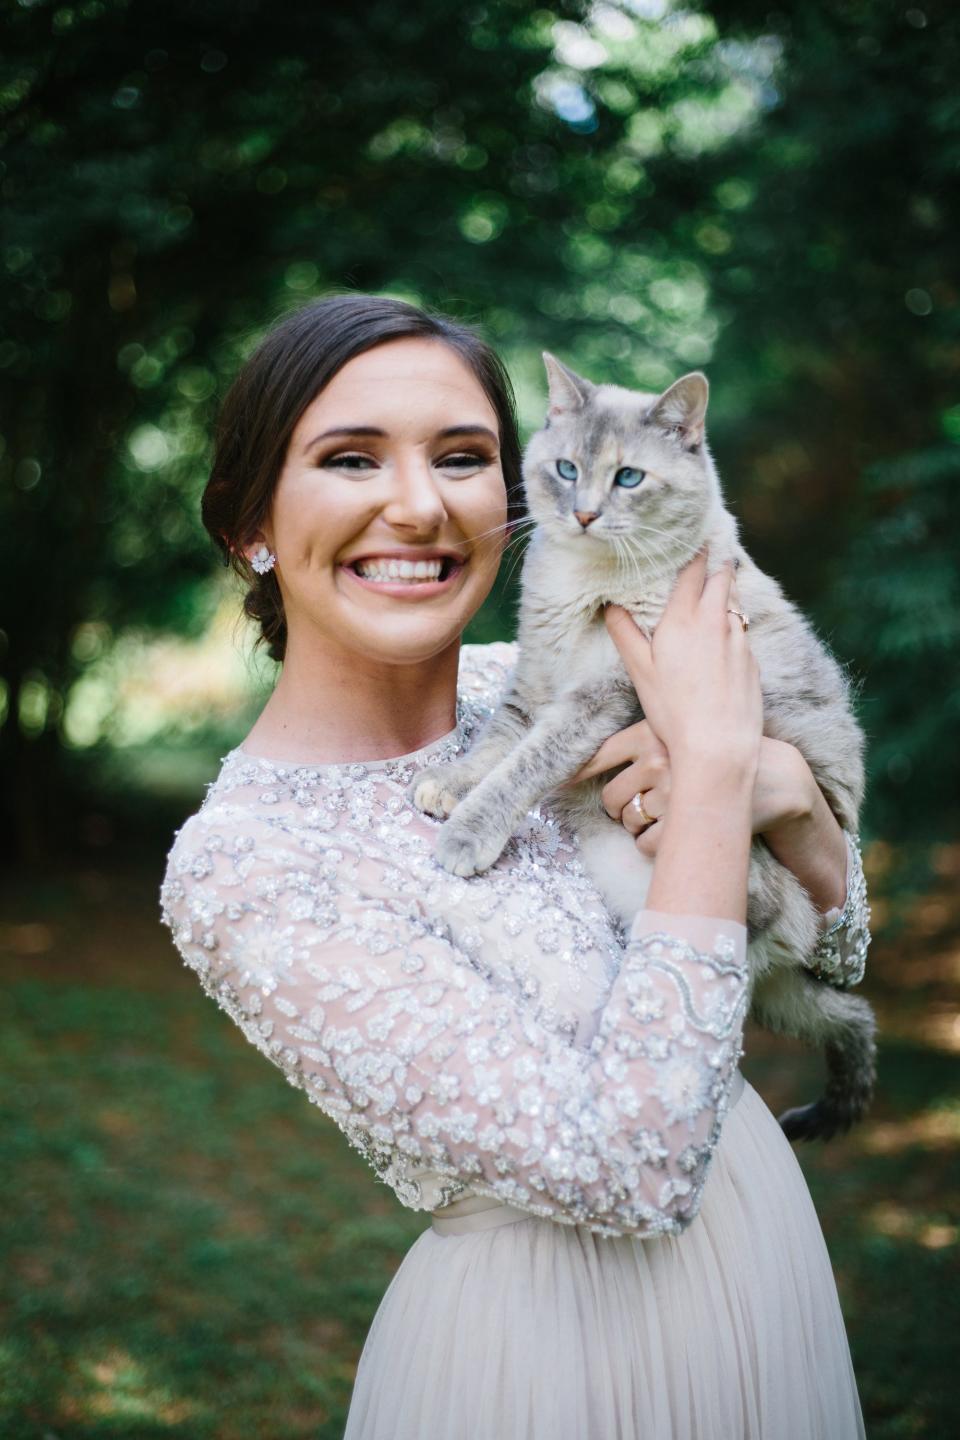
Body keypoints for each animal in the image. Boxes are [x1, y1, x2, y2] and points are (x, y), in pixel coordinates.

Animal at [414, 354, 880, 1140]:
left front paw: (467, 835)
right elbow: (493, 746)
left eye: (628, 477)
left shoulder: (598, 699)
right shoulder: (533, 678)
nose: (584, 513)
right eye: (567, 469)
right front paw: (447, 788)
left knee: (751, 929)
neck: (587, 586)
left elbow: (522, 767)